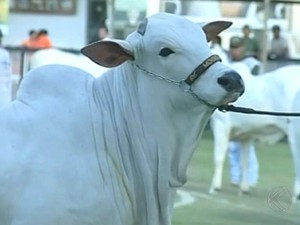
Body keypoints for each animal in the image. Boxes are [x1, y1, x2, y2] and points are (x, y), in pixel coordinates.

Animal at [210, 63, 300, 200]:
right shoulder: (246, 136)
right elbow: (244, 162)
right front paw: (244, 188)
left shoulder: (221, 126)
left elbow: (218, 158)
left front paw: (214, 187)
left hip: (294, 134)